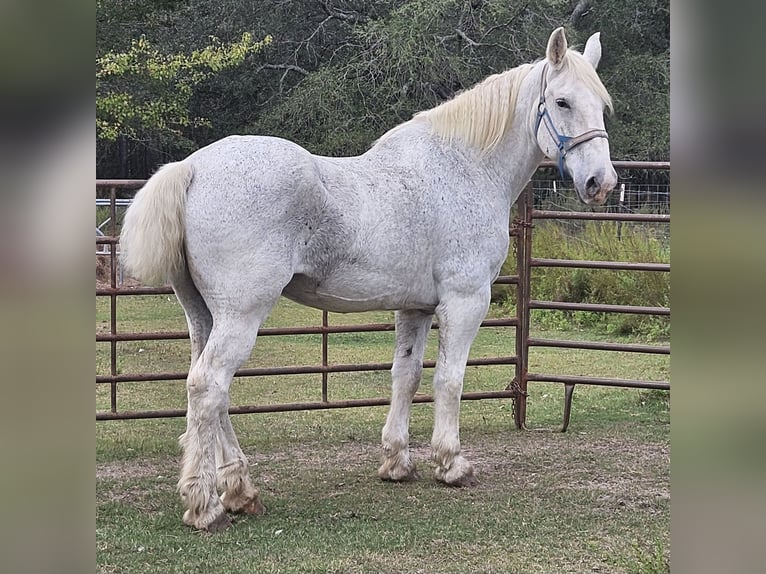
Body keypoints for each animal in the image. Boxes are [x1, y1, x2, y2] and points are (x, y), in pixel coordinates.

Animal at [120, 27, 617, 532]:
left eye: (601, 104)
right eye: (562, 101)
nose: (602, 183)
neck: (466, 168)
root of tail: (193, 168)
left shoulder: (415, 308)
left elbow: (406, 376)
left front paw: (397, 461)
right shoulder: (465, 301)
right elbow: (450, 379)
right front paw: (451, 464)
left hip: (203, 315)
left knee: (208, 390)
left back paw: (241, 490)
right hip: (241, 316)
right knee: (209, 387)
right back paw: (205, 505)